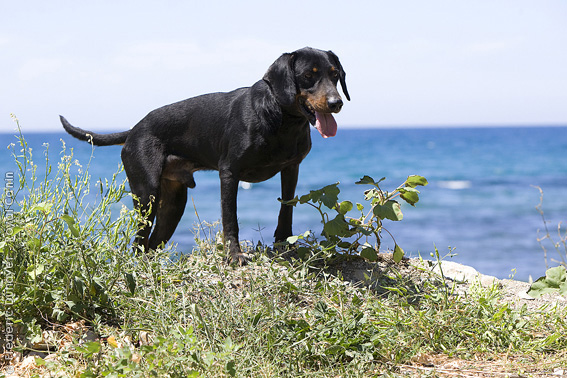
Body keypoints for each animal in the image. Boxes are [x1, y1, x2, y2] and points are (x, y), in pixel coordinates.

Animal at [60, 47, 348, 262]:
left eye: (335, 74)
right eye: (308, 75)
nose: (336, 103)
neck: (281, 120)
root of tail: (134, 130)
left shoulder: (291, 168)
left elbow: (285, 209)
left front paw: (284, 245)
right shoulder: (229, 173)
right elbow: (230, 219)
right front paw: (234, 256)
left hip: (173, 204)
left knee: (152, 244)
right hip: (146, 195)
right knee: (139, 242)